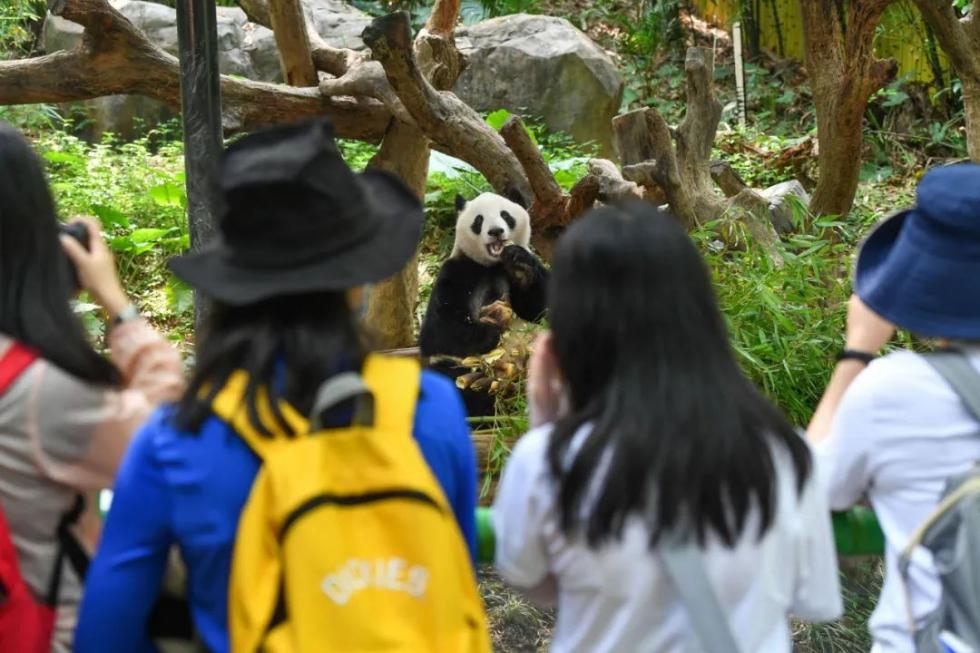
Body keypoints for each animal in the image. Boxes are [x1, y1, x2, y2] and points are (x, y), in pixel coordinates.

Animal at [418, 190, 548, 412]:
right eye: (479, 220)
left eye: (505, 215)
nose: (496, 231)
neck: (493, 265)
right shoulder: (459, 272)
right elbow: (438, 330)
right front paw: (491, 333)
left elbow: (540, 309)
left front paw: (519, 265)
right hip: (460, 367)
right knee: (447, 383)